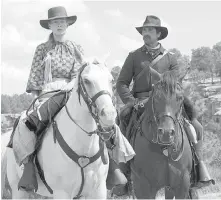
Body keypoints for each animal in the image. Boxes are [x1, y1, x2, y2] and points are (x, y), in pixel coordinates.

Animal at [2, 61, 117, 199]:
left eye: (111, 80)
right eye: (86, 80)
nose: (109, 115)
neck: (84, 150)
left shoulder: (98, 191)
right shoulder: (62, 192)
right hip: (19, 191)